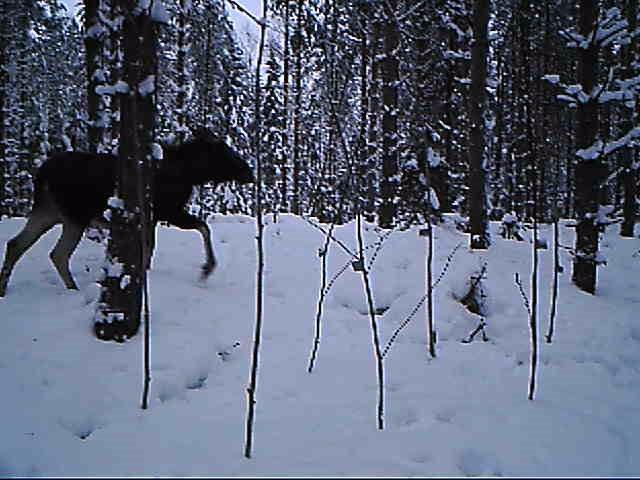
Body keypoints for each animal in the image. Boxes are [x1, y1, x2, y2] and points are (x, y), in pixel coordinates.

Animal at [0, 131, 255, 296]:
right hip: (75, 215)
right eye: (226, 154)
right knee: (58, 254)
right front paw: (207, 267)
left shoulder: (154, 217)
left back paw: (4, 288)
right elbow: (203, 227)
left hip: (48, 211)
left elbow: (150, 247)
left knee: (16, 244)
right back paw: (74, 290)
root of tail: (41, 174)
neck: (190, 174)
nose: (249, 172)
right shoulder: (169, 212)